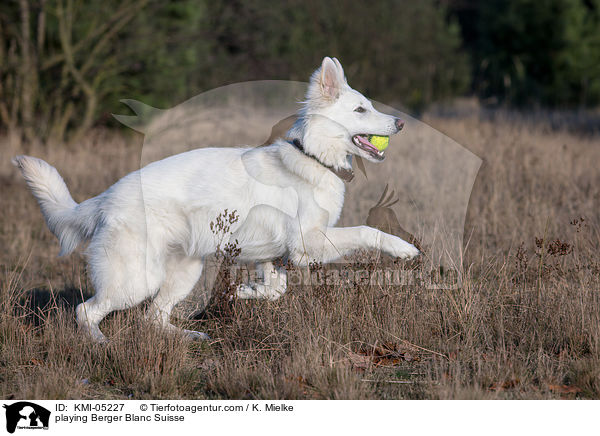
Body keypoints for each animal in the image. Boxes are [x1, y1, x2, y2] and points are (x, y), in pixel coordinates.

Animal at [12, 58, 418, 342]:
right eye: (361, 110)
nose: (400, 124)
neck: (312, 156)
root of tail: (105, 199)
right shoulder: (309, 244)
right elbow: (367, 230)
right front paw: (402, 248)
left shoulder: (277, 255)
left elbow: (276, 289)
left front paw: (248, 291)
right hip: (136, 280)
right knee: (87, 311)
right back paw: (100, 344)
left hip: (183, 272)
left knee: (153, 317)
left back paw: (188, 336)